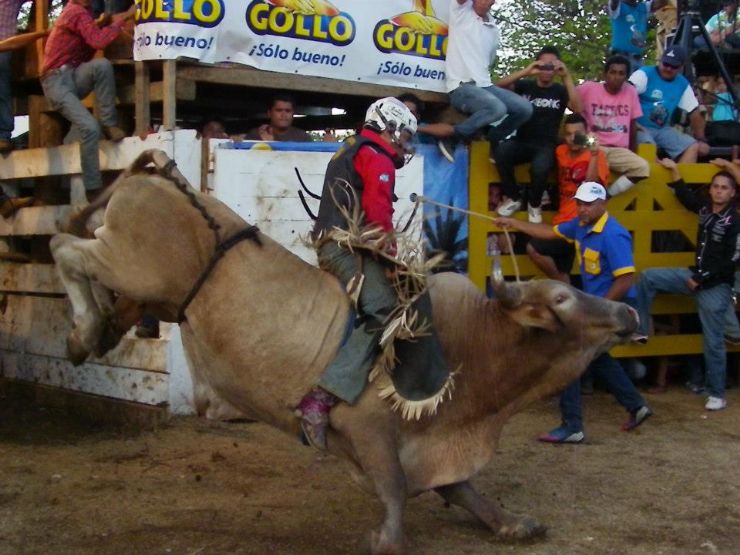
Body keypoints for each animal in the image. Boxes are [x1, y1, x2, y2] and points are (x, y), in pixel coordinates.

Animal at [52, 150, 640, 552]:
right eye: (562, 298)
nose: (629, 315)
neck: (473, 342)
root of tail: (156, 176)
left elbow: (464, 489)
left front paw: (512, 522)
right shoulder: (369, 430)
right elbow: (397, 488)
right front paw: (386, 539)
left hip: (150, 289)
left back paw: (98, 330)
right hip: (129, 263)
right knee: (65, 248)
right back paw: (81, 332)